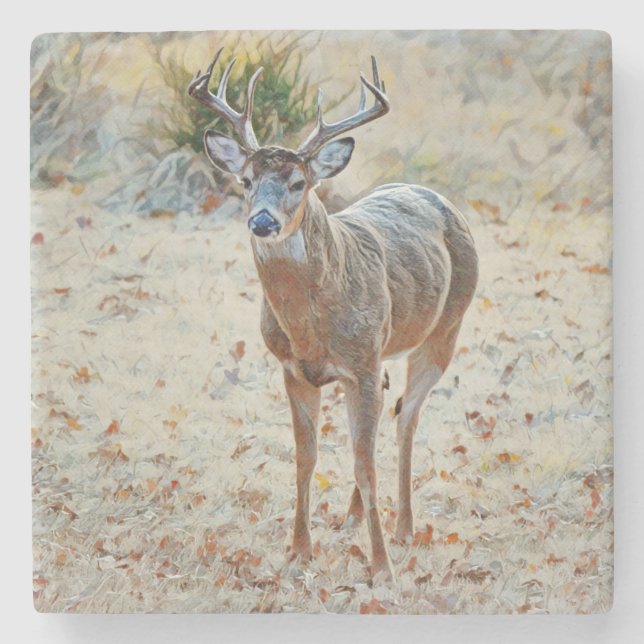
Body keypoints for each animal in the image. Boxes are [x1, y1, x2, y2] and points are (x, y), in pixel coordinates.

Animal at [188, 49, 478, 581]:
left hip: (445, 328)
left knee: (407, 417)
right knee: (390, 412)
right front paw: (299, 550)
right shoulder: (294, 369)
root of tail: (434, 195)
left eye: (298, 182)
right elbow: (307, 457)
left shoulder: (360, 366)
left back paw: (403, 529)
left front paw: (381, 566)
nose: (262, 221)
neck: (311, 329)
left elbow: (364, 462)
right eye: (245, 180)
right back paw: (353, 517)